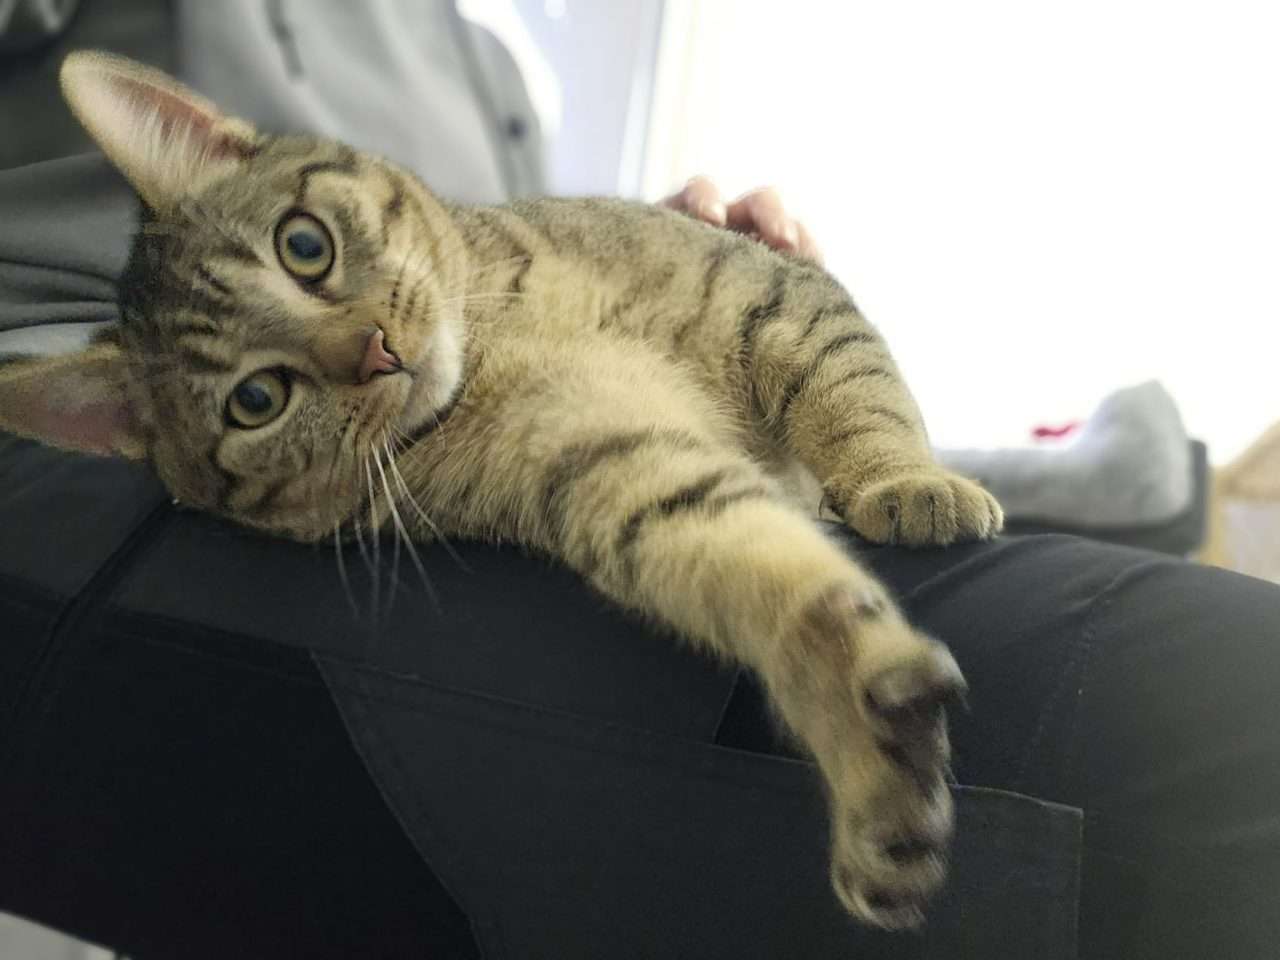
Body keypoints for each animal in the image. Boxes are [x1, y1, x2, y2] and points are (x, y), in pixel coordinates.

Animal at [0, 51, 1002, 930]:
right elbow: (750, 561)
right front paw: (865, 745)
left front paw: (903, 477)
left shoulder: (767, 292)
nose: (377, 352)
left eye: (304, 246)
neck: (499, 332)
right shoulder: (605, 459)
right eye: (256, 401)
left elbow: (852, 387)